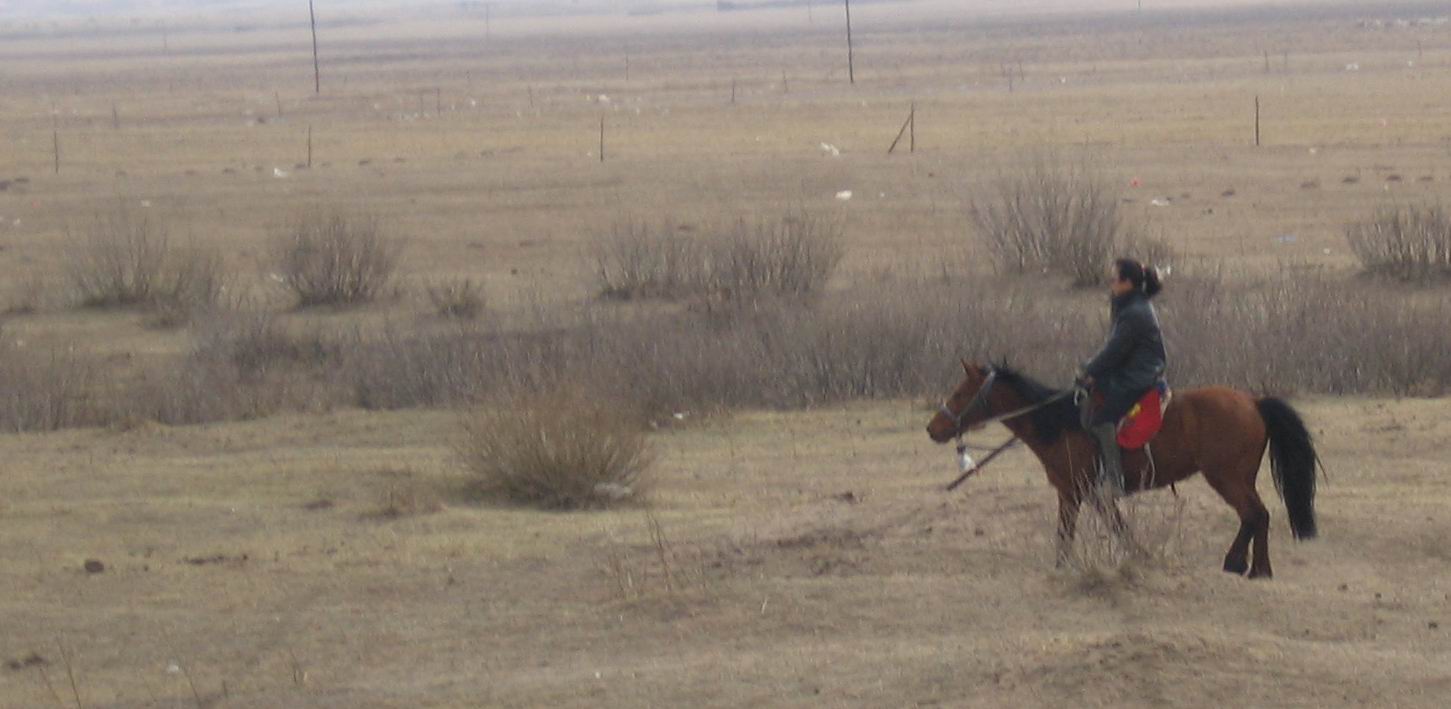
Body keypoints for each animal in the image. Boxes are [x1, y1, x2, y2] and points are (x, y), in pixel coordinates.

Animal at [922, 359, 1323, 574]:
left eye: (960, 393)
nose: (932, 429)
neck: (1060, 422)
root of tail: (1253, 402)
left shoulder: (1076, 492)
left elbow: (1078, 533)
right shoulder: (1084, 494)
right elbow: (1111, 527)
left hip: (1226, 477)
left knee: (1256, 514)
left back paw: (1249, 566)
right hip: (1239, 477)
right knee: (1255, 516)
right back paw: (1249, 566)